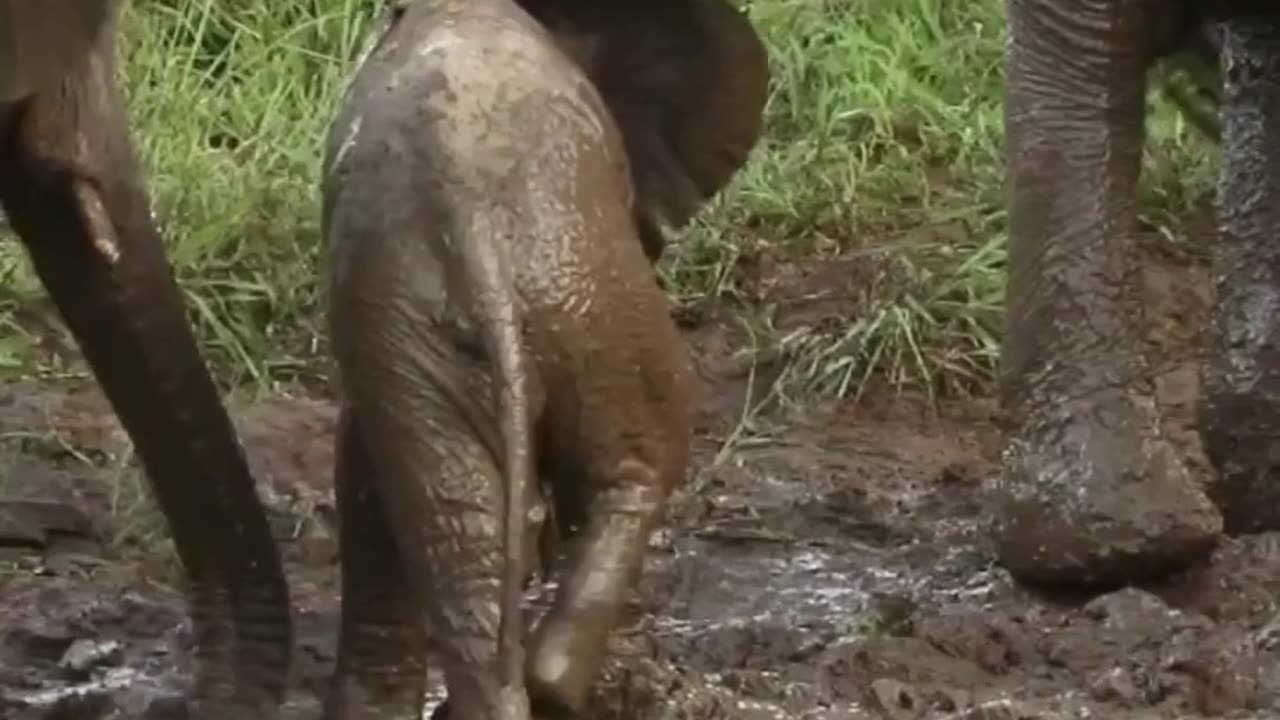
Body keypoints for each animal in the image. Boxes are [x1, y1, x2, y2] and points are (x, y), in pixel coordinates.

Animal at [318, 2, 762, 712]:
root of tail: (469, 225)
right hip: (595, 291)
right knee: (638, 467)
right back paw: (551, 684)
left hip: (424, 331)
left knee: (455, 531)